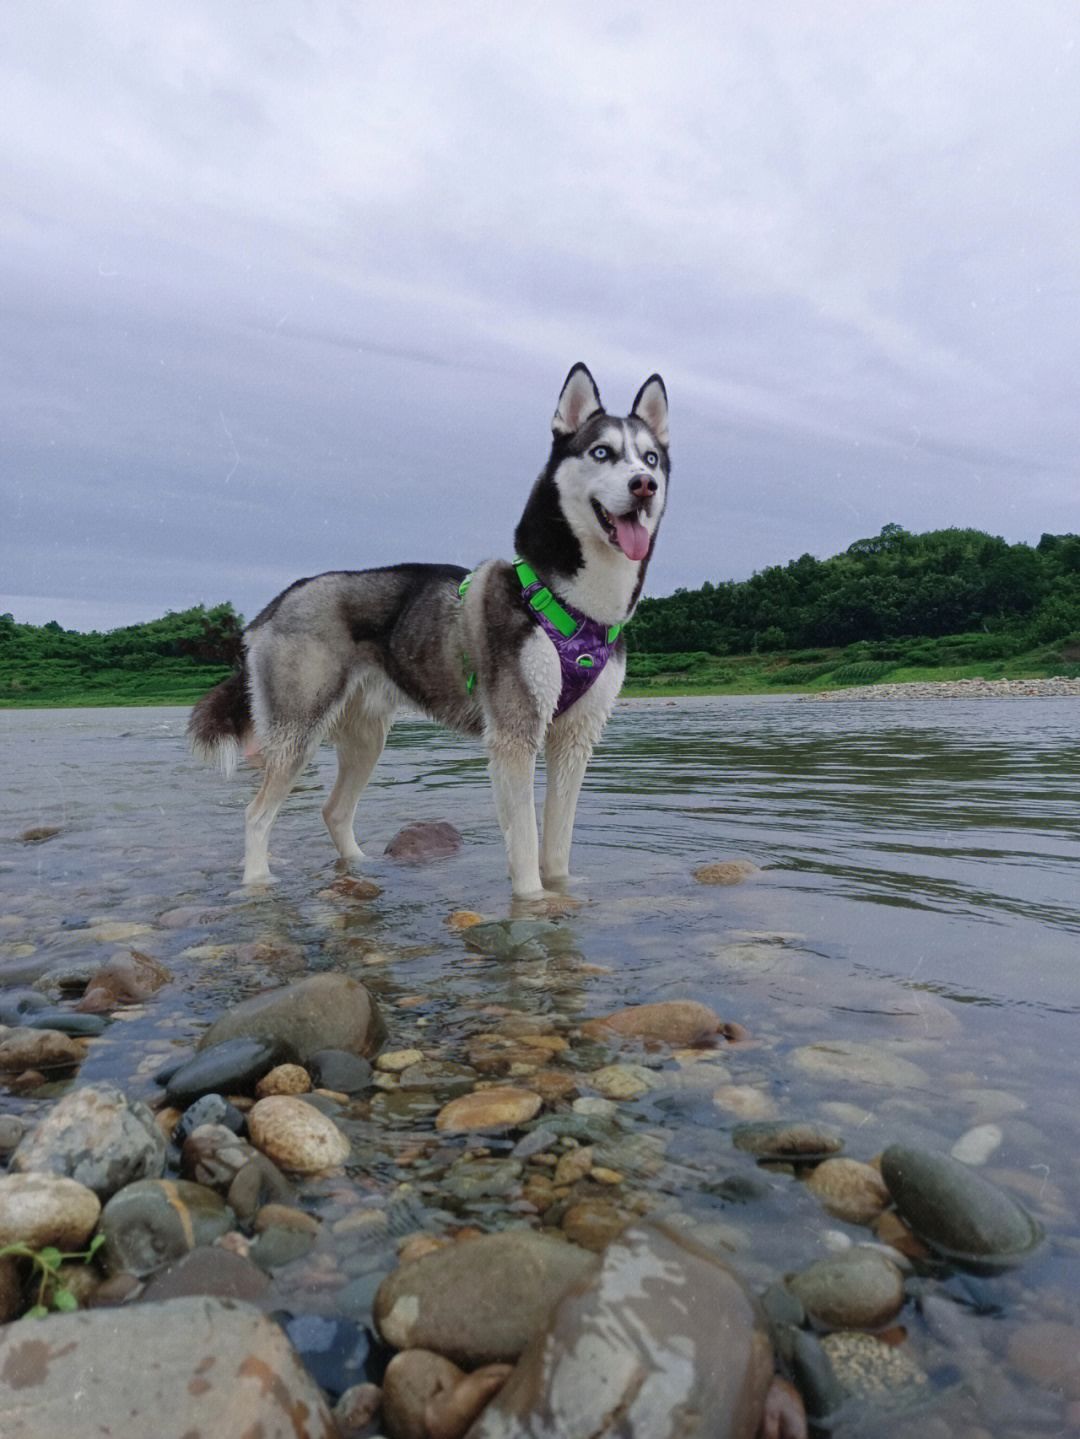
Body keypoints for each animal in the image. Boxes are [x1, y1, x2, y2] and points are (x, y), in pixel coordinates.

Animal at [189, 365, 673, 892]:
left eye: (650, 457)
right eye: (601, 452)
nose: (644, 484)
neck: (574, 605)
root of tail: (276, 603)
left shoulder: (575, 741)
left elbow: (557, 851)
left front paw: (562, 895)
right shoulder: (514, 737)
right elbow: (526, 848)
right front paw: (532, 902)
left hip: (366, 738)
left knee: (334, 811)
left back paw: (362, 868)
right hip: (298, 730)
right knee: (257, 815)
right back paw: (258, 883)